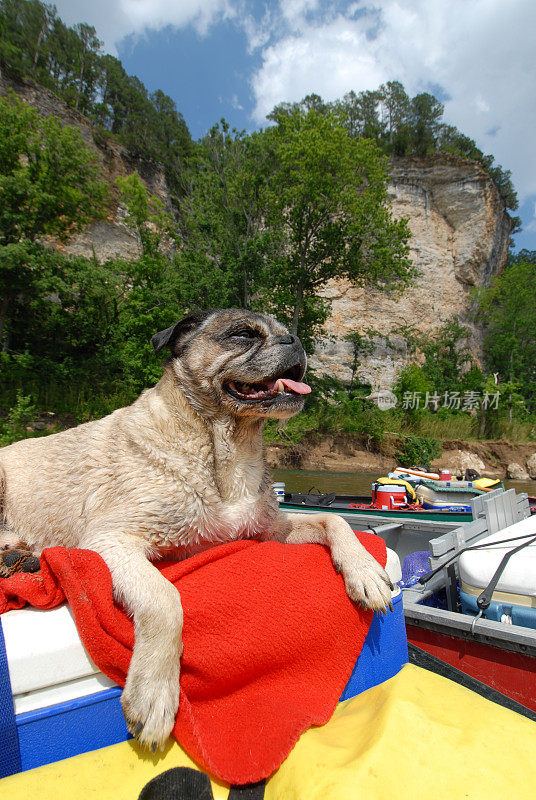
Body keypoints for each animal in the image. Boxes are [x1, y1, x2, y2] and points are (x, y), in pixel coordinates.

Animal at [1, 308, 394, 752]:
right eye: (243, 335)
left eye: (284, 331)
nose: (294, 340)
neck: (232, 444)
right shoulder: (112, 540)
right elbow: (164, 599)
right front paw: (155, 691)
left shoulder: (270, 529)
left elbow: (336, 520)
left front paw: (364, 572)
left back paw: (18, 556)